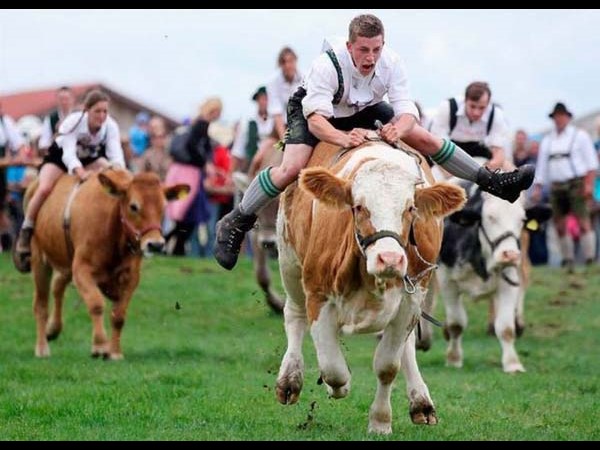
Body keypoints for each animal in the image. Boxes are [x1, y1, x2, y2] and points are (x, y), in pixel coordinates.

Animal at [26, 167, 188, 360]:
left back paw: (53, 329)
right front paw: (100, 346)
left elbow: (118, 316)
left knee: (58, 286)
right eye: (134, 206)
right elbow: (96, 304)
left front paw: (115, 352)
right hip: (39, 260)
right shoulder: (81, 270)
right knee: (41, 304)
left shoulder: (130, 278)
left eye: (163, 206)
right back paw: (42, 347)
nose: (155, 244)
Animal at [274, 139, 466, 434]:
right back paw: (290, 379)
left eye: (410, 208)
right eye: (359, 206)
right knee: (294, 316)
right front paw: (337, 386)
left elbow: (387, 365)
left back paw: (421, 402)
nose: (390, 259)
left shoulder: (410, 301)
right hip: (289, 263)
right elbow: (333, 368)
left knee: (406, 346)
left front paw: (380, 422)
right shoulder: (318, 296)